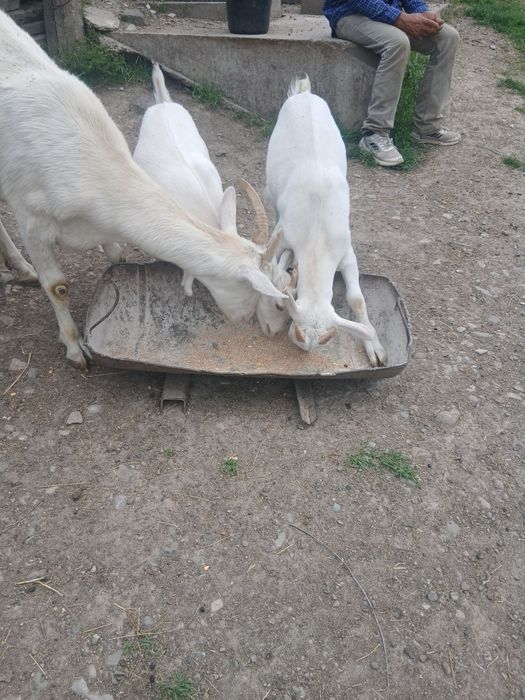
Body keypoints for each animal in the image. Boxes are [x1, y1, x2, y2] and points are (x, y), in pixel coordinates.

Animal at [265, 75, 387, 366]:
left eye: (325, 339)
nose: (303, 351)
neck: (317, 237)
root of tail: (304, 93)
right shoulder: (285, 235)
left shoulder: (345, 249)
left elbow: (357, 299)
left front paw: (375, 347)